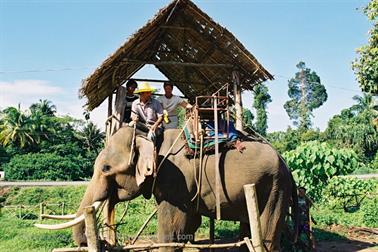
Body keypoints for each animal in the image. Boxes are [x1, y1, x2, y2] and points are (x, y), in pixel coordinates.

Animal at [69, 127, 296, 251]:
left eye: (106, 168)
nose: (102, 242)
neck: (149, 136)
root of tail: (286, 162)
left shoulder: (175, 183)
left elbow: (171, 228)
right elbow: (187, 226)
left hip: (274, 188)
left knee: (267, 237)